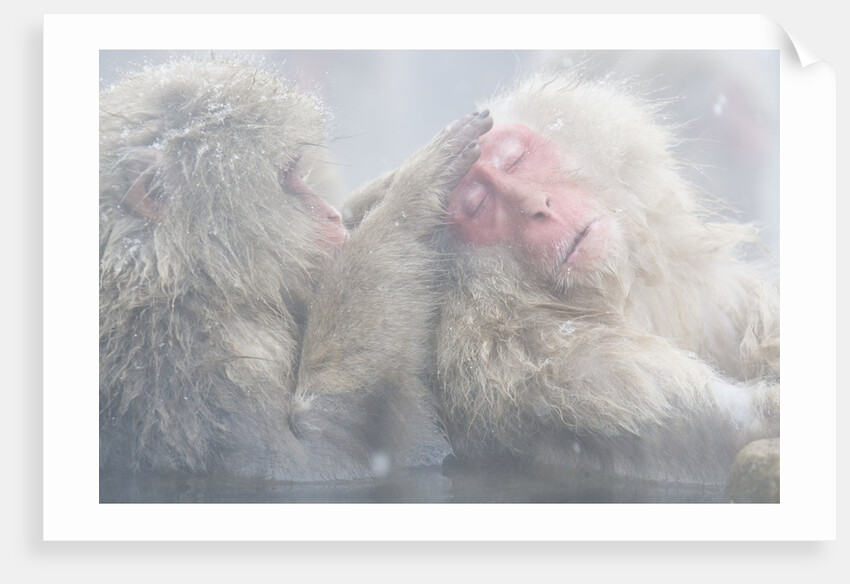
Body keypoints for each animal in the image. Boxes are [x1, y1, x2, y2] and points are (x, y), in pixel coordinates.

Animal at [99, 56, 490, 484]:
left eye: (296, 173)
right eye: (286, 178)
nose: (331, 215)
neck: (190, 282)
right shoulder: (190, 359)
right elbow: (311, 457)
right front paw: (412, 193)